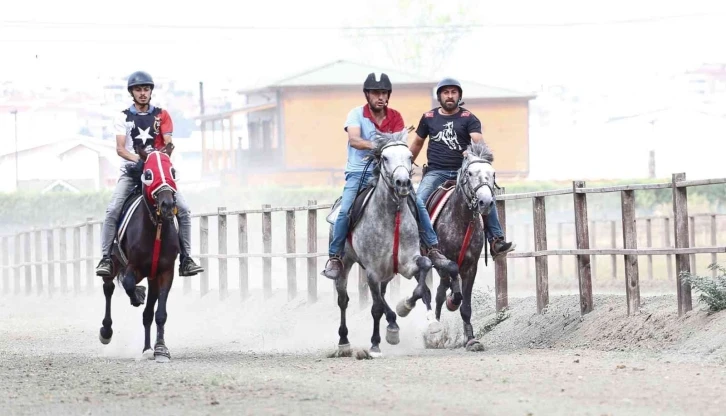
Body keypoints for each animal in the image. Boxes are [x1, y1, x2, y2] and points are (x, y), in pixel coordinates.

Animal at [98, 145, 182, 360]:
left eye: (173, 172)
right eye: (149, 174)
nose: (167, 205)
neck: (156, 229)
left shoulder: (164, 272)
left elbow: (159, 313)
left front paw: (161, 349)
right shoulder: (133, 266)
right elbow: (128, 283)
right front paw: (137, 295)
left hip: (152, 277)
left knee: (148, 314)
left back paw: (147, 348)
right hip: (112, 262)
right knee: (108, 288)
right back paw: (106, 331)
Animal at [328, 130, 436, 358]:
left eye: (409, 157)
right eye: (385, 158)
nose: (403, 183)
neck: (392, 216)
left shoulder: (407, 264)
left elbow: (424, 273)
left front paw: (407, 308)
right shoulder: (373, 271)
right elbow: (376, 308)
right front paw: (376, 344)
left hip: (387, 272)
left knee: (383, 295)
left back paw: (392, 324)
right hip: (345, 263)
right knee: (344, 300)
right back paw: (344, 342)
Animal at [424, 142, 498, 352]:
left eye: (493, 174)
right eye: (470, 173)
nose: (486, 202)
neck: (461, 220)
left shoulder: (471, 266)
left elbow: (465, 305)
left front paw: (471, 339)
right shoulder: (442, 260)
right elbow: (452, 284)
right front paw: (452, 301)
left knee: (441, 291)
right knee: (437, 292)